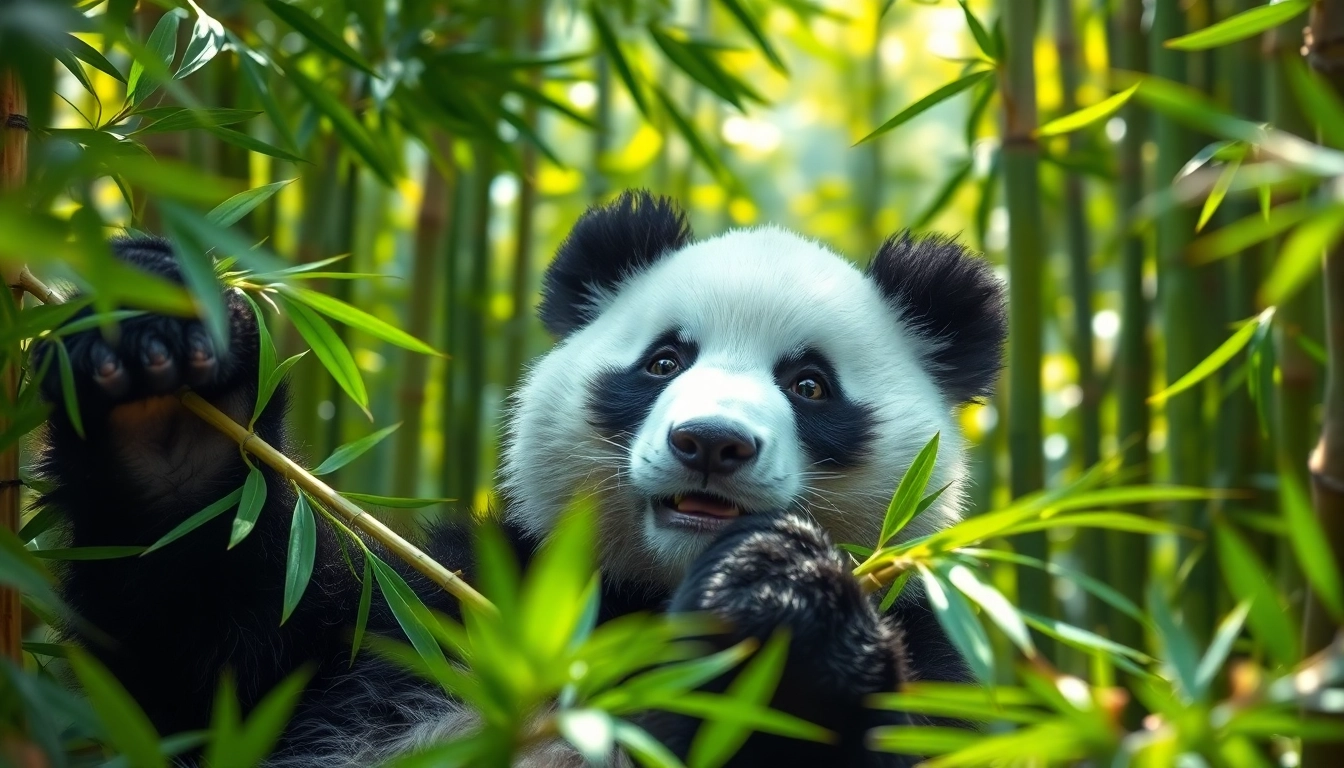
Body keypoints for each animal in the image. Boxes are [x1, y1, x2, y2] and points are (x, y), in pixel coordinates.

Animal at [35, 190, 1006, 766]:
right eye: (664, 361)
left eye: (809, 385)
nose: (711, 444)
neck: (644, 595)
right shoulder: (435, 614)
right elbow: (204, 663)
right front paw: (160, 380)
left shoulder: (943, 653)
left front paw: (782, 611)